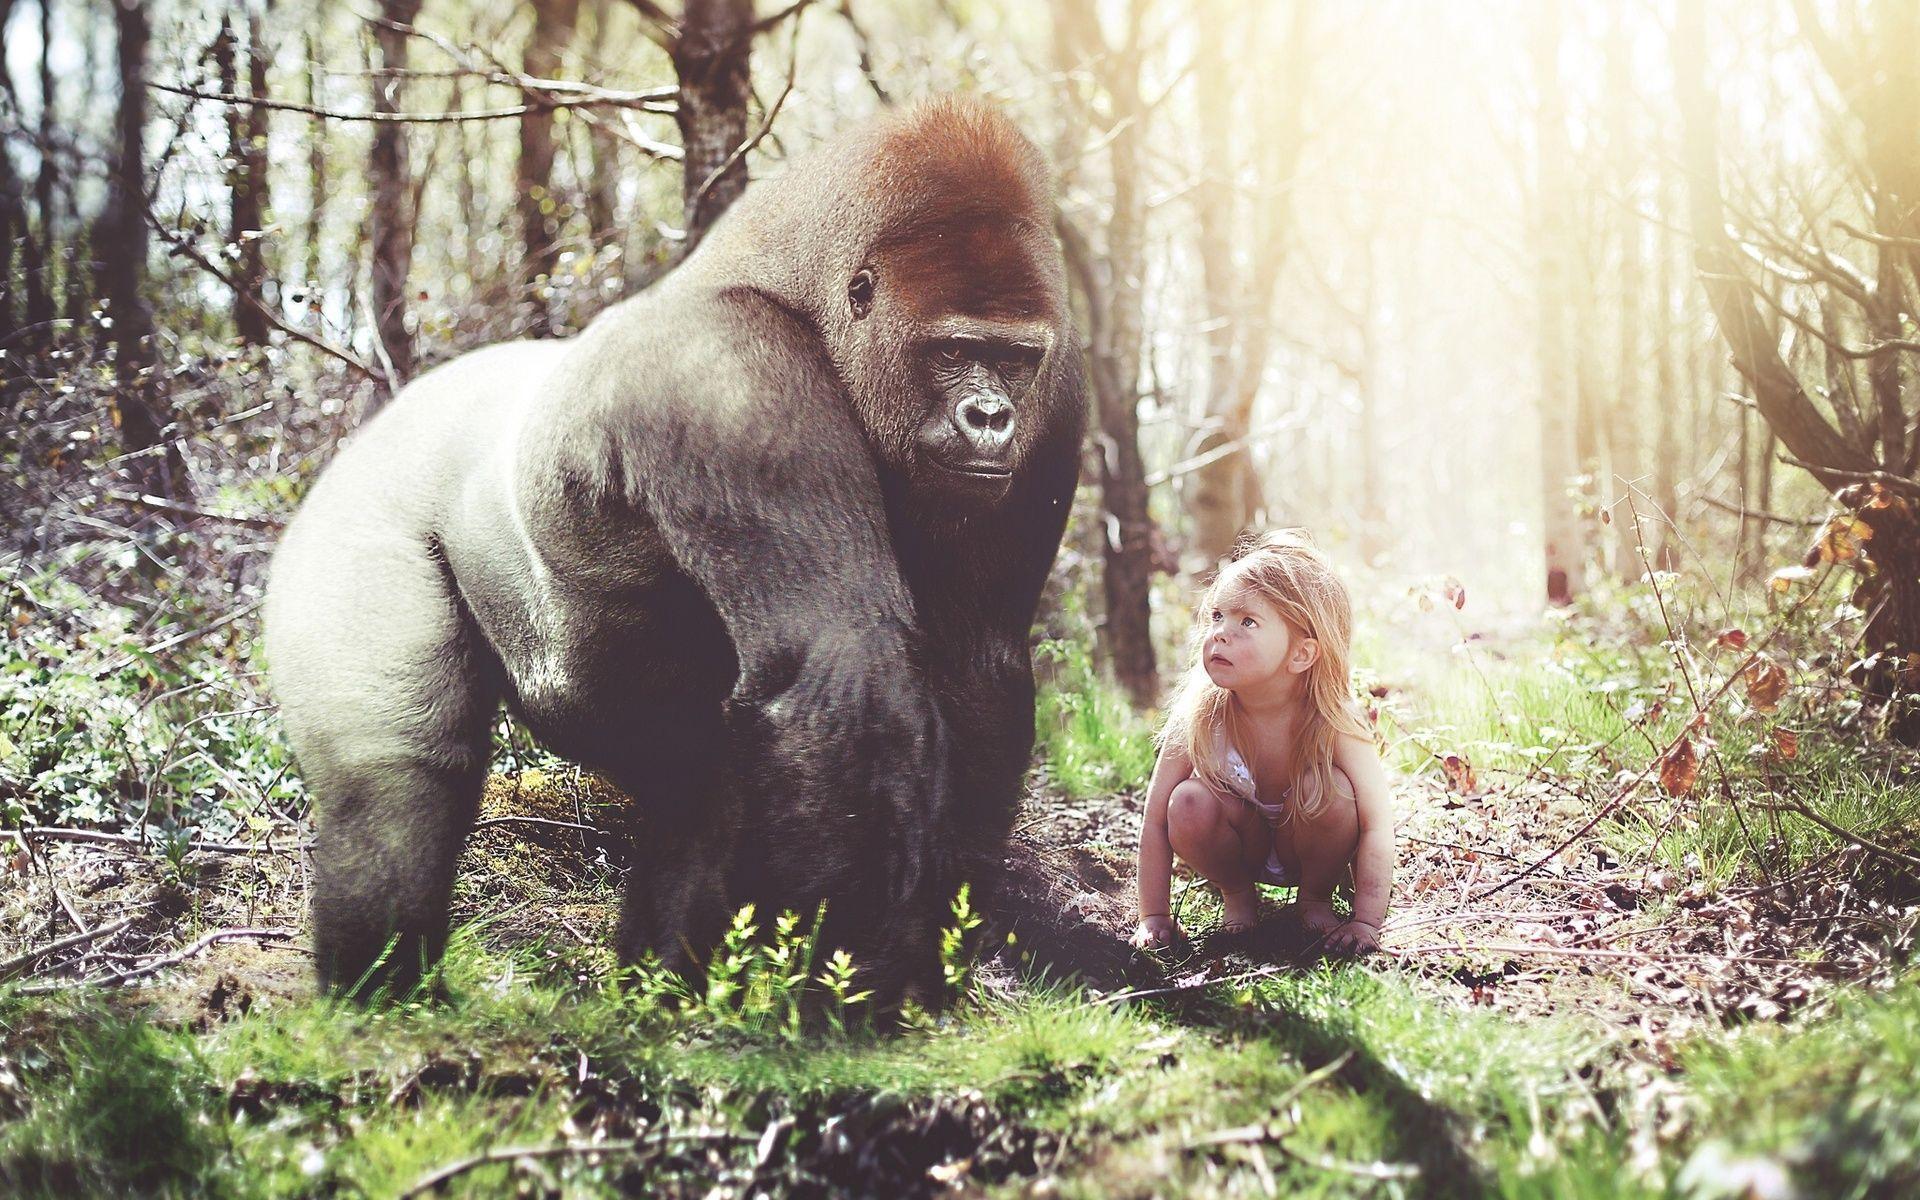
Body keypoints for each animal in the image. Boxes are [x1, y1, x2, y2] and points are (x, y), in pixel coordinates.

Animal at [263, 96, 1087, 1004]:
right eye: (953, 351)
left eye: (1014, 359)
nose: (991, 418)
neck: (801, 290)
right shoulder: (730, 377)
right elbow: (840, 665)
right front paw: (846, 997)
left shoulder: (1059, 396)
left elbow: (977, 665)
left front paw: (919, 963)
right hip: (361, 504)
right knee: (396, 782)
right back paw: (383, 991)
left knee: (696, 788)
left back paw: (656, 992)